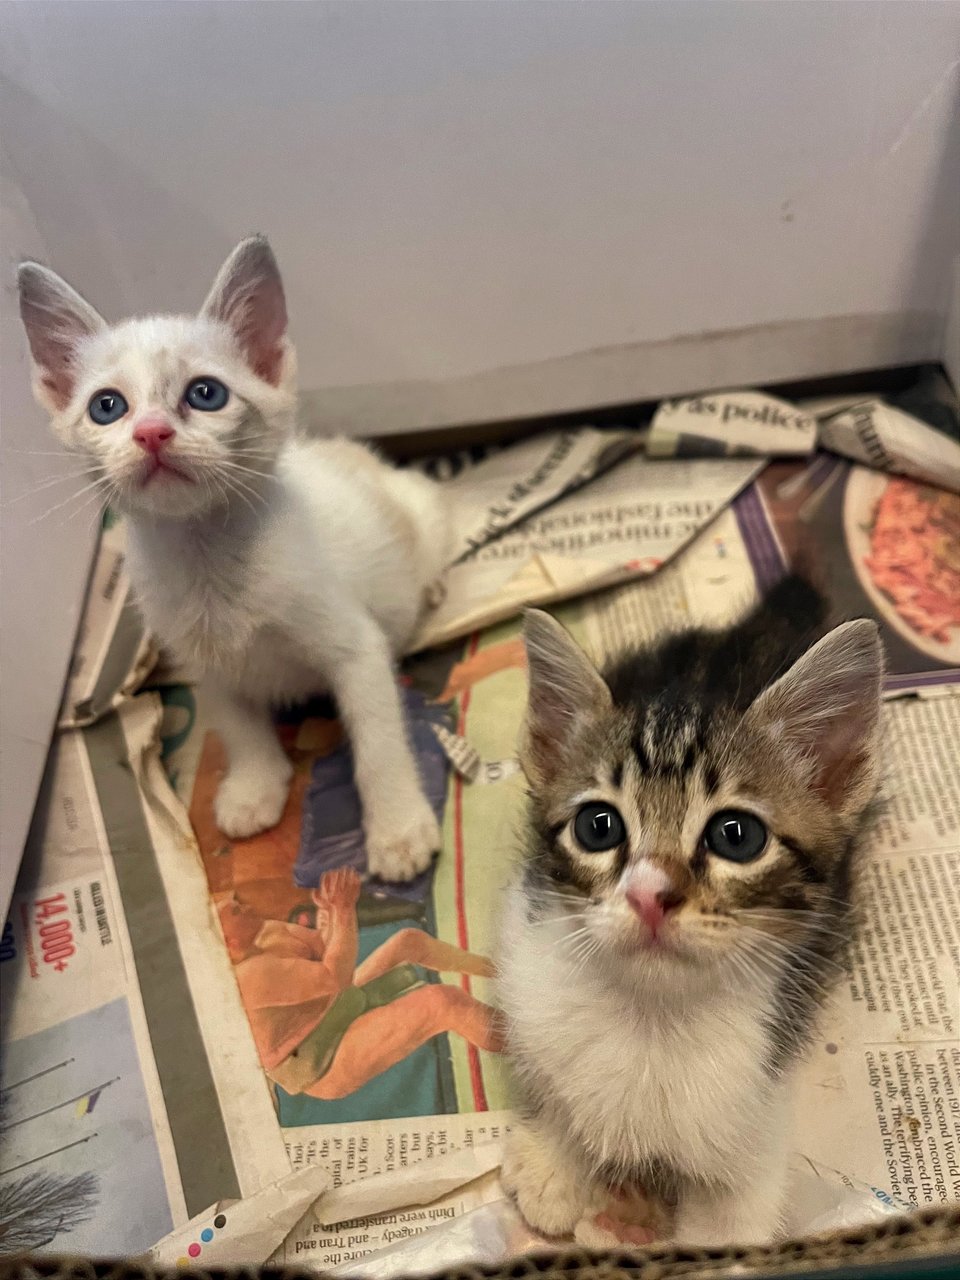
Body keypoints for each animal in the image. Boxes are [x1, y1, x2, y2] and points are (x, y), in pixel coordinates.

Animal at [19, 238, 455, 880]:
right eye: (107, 407)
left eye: (206, 394)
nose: (151, 432)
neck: (209, 562)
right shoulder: (201, 657)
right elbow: (237, 722)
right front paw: (254, 786)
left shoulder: (357, 647)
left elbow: (378, 738)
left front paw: (398, 829)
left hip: (422, 511)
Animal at [499, 576, 885, 1244]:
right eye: (598, 826)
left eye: (737, 836)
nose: (649, 894)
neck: (651, 1017)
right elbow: (554, 1086)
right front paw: (555, 1161)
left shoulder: (754, 1107)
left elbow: (728, 1227)